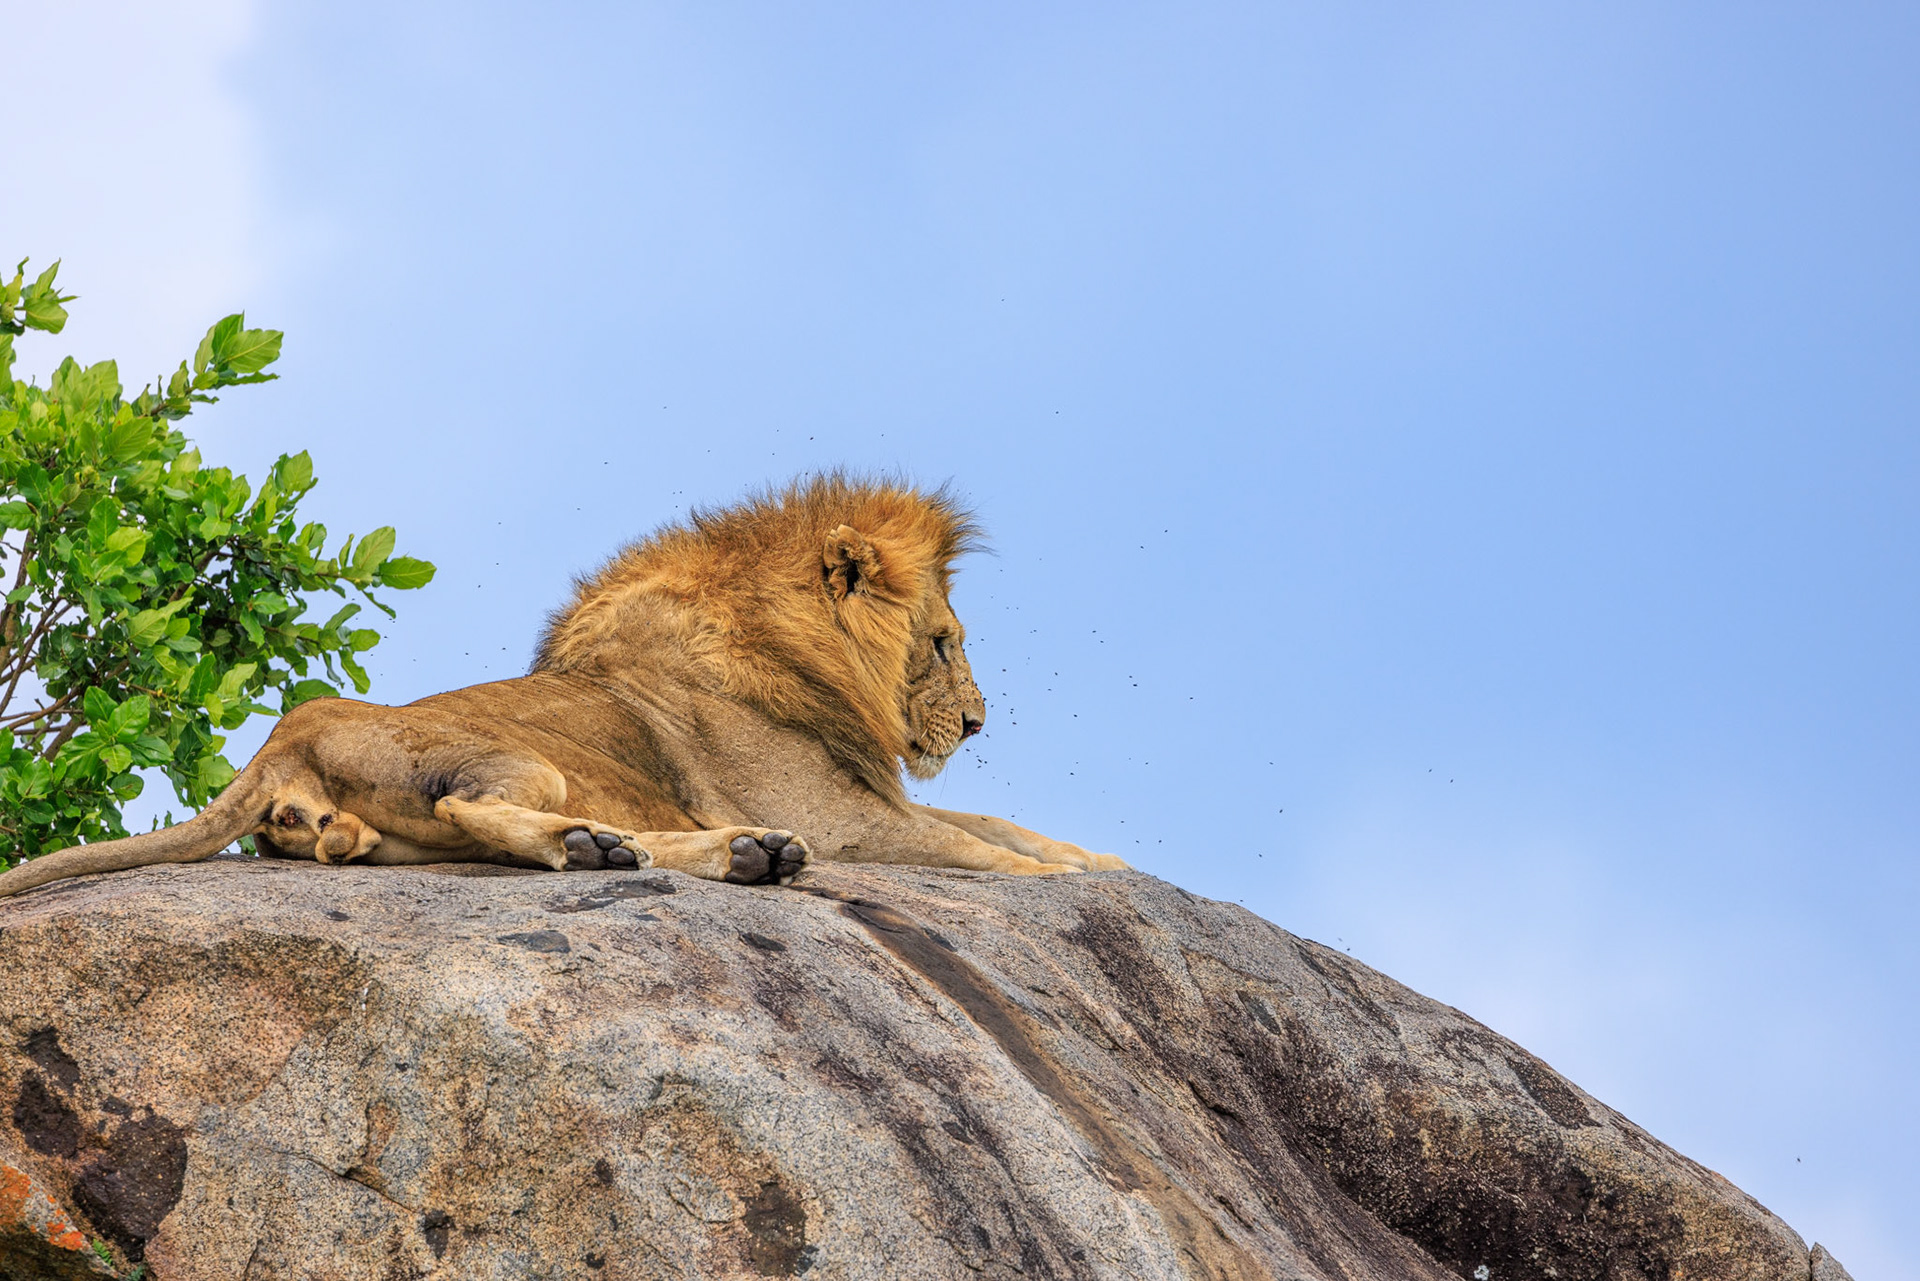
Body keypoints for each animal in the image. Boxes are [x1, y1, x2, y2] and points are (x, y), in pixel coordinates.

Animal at [0, 476, 1125, 899]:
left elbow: (1002, 825)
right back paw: (624, 847)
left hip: (406, 827)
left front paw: (1099, 859)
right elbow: (980, 845)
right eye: (940, 643)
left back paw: (729, 853)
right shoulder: (851, 819)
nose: (975, 724)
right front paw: (1064, 876)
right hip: (516, 759)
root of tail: (280, 742)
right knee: (483, 809)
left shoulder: (862, 804)